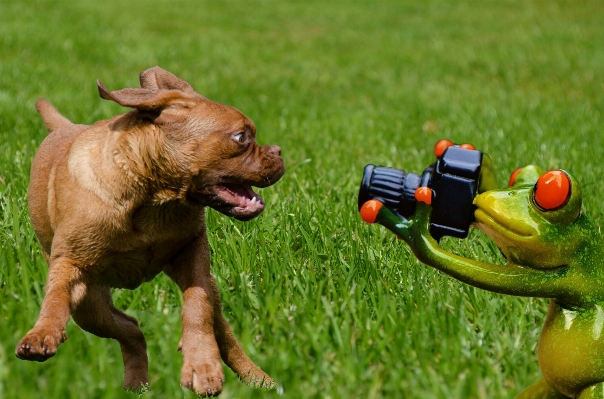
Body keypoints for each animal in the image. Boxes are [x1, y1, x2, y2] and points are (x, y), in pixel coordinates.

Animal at [15, 68, 286, 396]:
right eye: (241, 137)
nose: (278, 151)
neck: (153, 196)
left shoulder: (193, 256)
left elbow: (197, 307)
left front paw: (201, 364)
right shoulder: (69, 265)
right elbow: (54, 299)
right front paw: (42, 332)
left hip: (205, 295)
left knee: (220, 332)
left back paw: (257, 379)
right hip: (89, 306)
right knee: (130, 328)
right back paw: (137, 383)